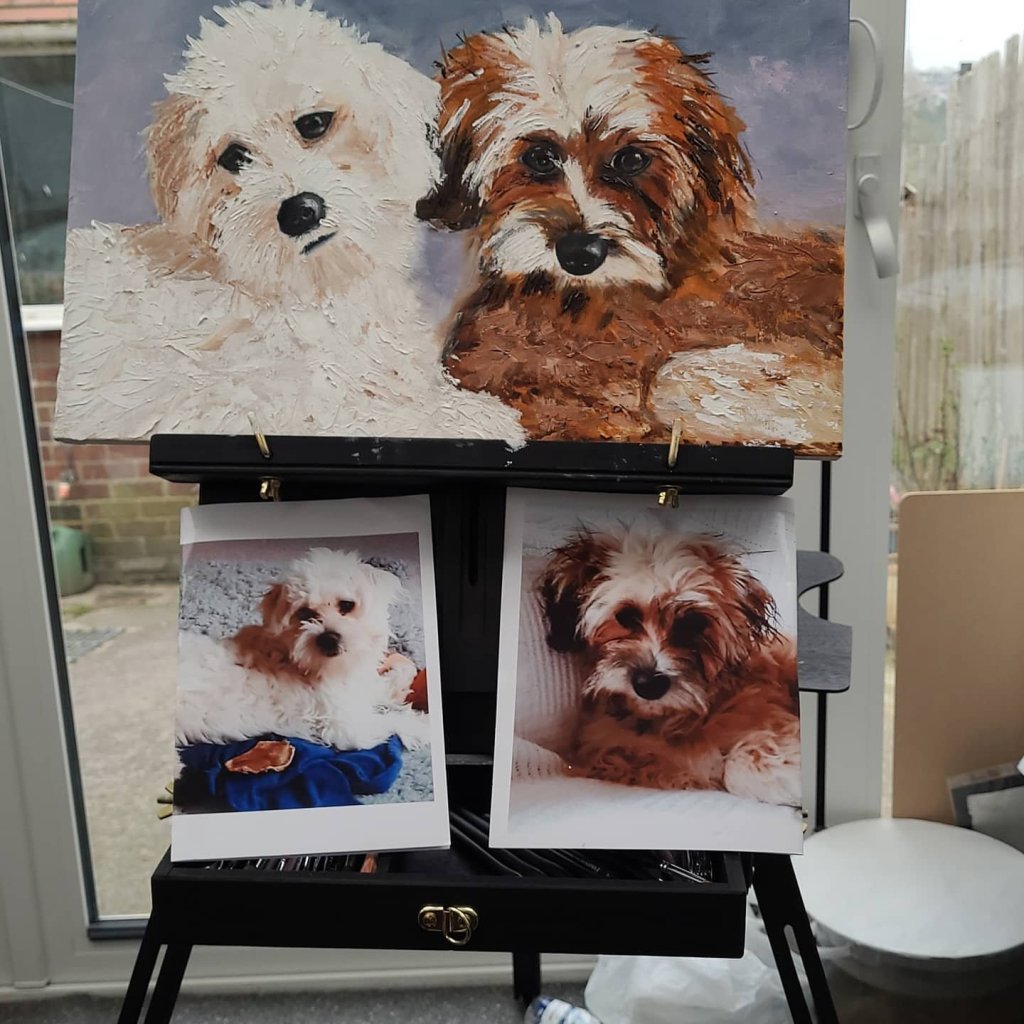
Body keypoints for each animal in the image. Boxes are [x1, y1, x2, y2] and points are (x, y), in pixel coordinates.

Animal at [55, 0, 525, 444]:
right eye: (234, 157)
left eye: (314, 123)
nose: (300, 212)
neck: (312, 291)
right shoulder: (231, 401)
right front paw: (476, 418)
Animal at [176, 548, 430, 754]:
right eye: (305, 613)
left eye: (347, 605)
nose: (328, 638)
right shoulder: (343, 726)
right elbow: (391, 720)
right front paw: (422, 725)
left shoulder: (359, 690)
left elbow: (387, 686)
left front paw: (404, 674)